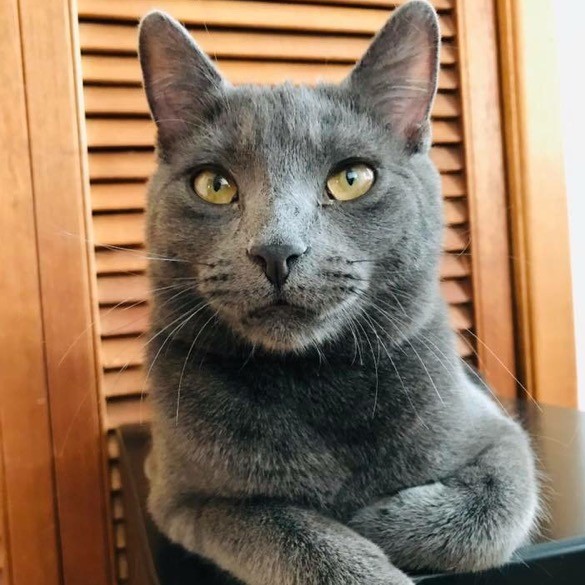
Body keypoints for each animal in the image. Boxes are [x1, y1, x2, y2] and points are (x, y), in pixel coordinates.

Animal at [138, 2, 538, 584]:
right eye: (214, 184)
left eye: (352, 179)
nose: (276, 250)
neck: (317, 380)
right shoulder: (181, 495)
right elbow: (282, 524)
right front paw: (350, 536)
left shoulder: (500, 434)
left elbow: (494, 504)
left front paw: (372, 519)